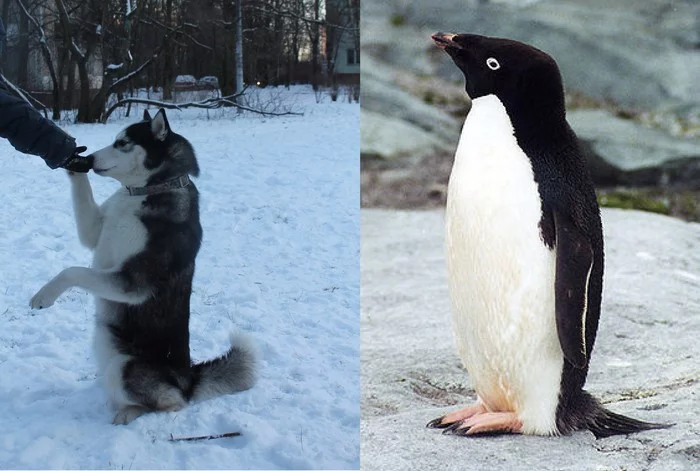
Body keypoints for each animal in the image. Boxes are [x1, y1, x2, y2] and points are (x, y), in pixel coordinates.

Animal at [29, 109, 258, 426]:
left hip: (125, 366)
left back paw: (129, 413)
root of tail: (187, 380)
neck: (141, 193)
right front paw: (71, 160)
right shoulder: (94, 231)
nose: (90, 159)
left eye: (123, 143)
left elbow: (73, 271)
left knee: (171, 404)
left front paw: (44, 296)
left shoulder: (133, 282)